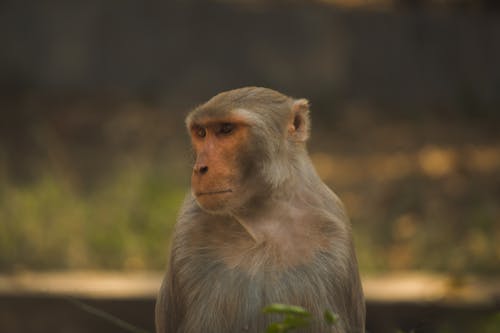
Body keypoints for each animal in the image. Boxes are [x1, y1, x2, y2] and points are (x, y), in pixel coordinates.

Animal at [154, 87, 366, 330]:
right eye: (201, 132)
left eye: (226, 130)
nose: (200, 168)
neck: (265, 215)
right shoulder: (189, 228)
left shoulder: (334, 238)